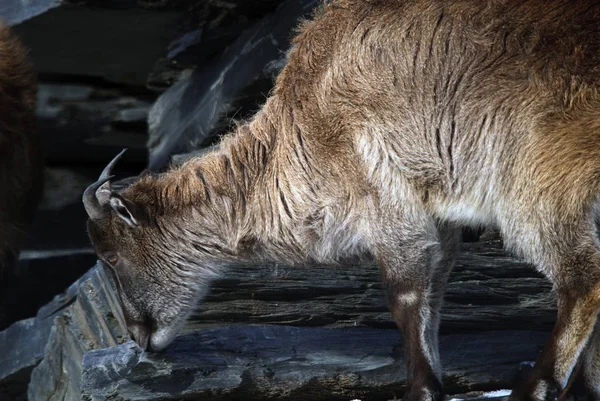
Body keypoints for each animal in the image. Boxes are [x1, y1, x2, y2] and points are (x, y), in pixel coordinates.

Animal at [86, 1, 600, 398]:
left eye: (111, 255)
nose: (139, 336)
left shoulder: (384, 198)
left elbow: (405, 296)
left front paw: (422, 389)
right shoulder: (438, 221)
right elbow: (434, 294)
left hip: (538, 184)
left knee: (582, 278)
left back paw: (536, 386)